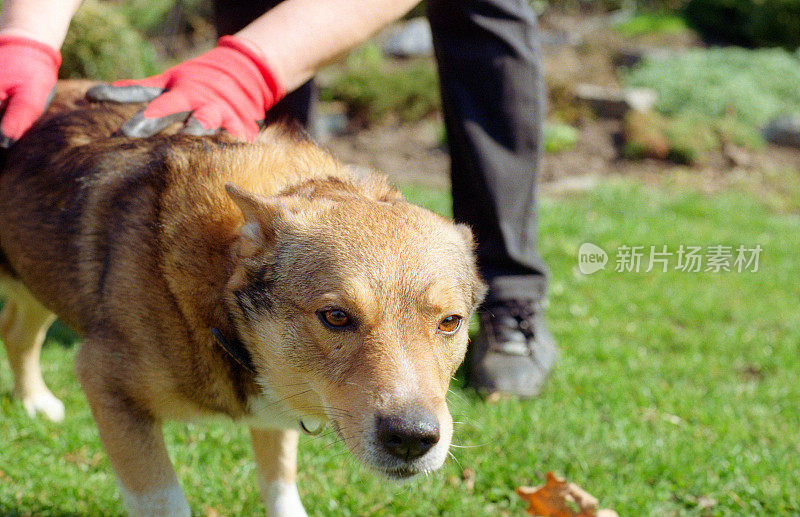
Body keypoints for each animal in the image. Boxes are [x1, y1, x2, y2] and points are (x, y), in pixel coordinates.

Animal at [0, 81, 488, 516]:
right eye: (335, 316)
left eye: (450, 322)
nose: (412, 438)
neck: (221, 307)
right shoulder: (107, 386)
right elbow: (166, 501)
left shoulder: (278, 404)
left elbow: (279, 483)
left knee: (16, 332)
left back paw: (34, 403)